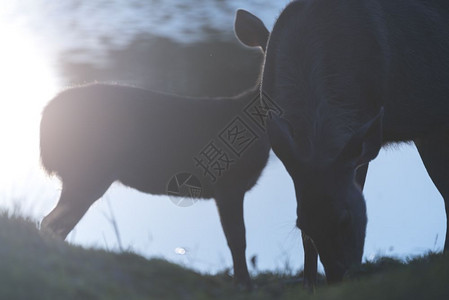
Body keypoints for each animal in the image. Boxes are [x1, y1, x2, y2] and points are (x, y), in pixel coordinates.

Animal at [38, 74, 270, 288]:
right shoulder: (229, 182)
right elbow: (237, 236)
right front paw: (244, 283)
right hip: (87, 172)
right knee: (51, 222)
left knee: (57, 224)